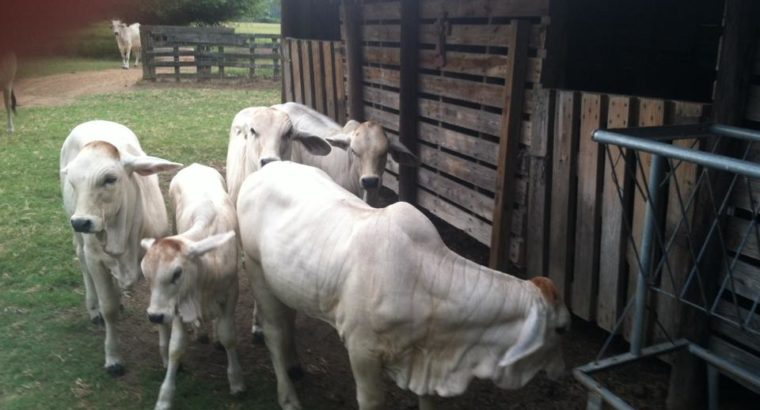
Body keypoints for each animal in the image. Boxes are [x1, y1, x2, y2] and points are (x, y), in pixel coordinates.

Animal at [60, 120, 182, 375]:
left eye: (110, 179)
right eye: (73, 182)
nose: (82, 222)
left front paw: (167, 358)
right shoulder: (95, 260)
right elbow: (109, 309)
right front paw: (113, 358)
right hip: (80, 240)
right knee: (82, 261)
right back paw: (93, 309)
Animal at [141, 163, 243, 410]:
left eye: (177, 273)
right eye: (146, 274)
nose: (155, 316)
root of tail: (196, 165)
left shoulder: (231, 291)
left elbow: (228, 335)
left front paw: (236, 382)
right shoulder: (178, 303)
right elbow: (175, 348)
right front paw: (164, 397)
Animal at [236, 161, 570, 410]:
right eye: (562, 329)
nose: (562, 377)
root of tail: (263, 171)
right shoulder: (362, 350)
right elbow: (372, 400)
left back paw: (294, 366)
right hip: (257, 271)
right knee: (275, 333)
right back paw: (288, 396)